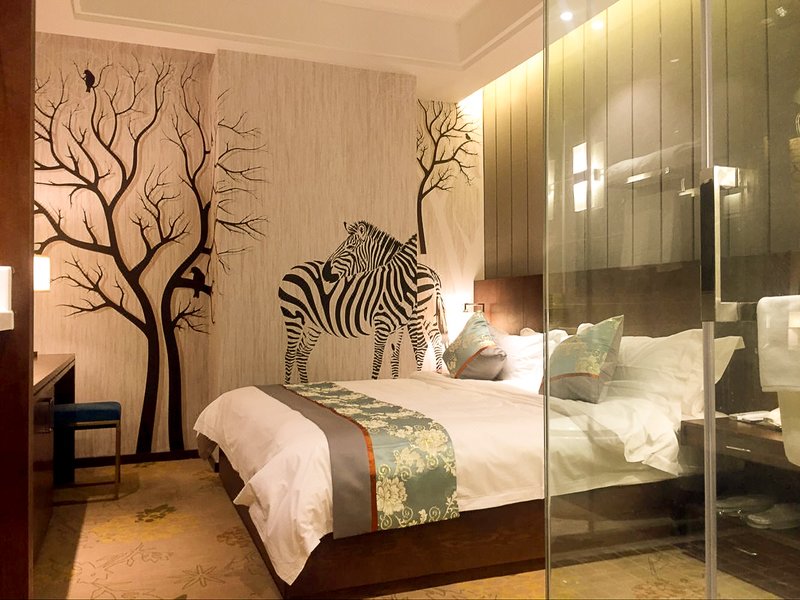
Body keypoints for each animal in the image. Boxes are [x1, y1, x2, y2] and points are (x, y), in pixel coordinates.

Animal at [279, 233, 418, 383]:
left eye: (350, 247)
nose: (325, 273)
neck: (397, 280)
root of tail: (292, 270)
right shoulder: (382, 325)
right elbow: (377, 360)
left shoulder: (399, 328)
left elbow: (394, 358)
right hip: (293, 316)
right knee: (290, 354)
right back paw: (288, 384)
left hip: (313, 324)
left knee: (301, 353)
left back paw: (305, 384)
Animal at [322, 221, 448, 376]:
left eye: (350, 247)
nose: (325, 272)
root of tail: (433, 275)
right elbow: (395, 353)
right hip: (430, 314)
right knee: (436, 340)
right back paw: (437, 372)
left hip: (418, 315)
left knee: (423, 344)